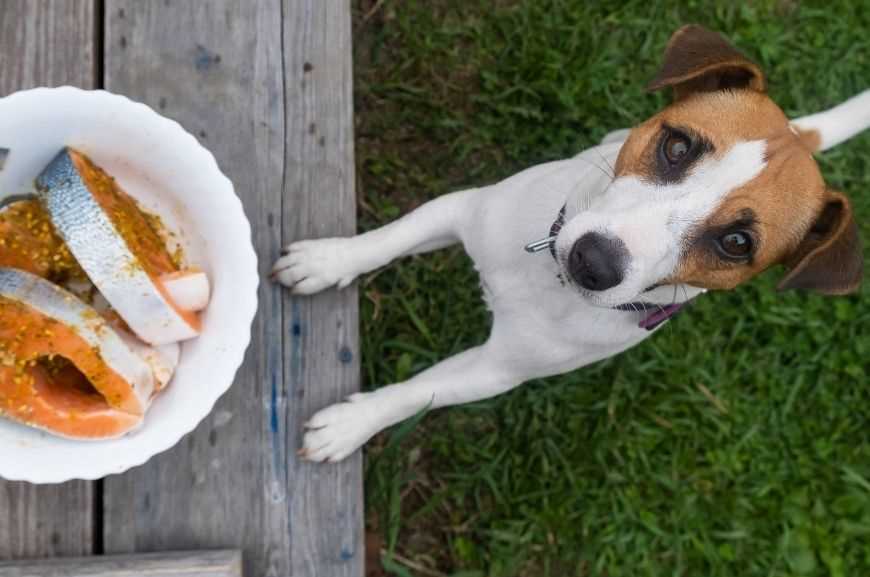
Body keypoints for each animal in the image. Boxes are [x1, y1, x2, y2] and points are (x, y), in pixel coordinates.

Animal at [272, 24, 870, 462]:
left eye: (738, 242)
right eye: (677, 146)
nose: (593, 262)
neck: (547, 280)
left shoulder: (495, 371)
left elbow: (417, 391)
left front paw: (349, 424)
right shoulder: (463, 210)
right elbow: (386, 239)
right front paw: (325, 260)